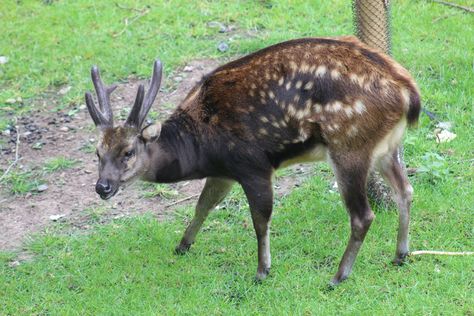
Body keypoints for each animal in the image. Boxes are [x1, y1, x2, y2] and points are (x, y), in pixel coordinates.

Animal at [84, 35, 418, 286]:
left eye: (128, 152)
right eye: (97, 153)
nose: (102, 187)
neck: (200, 146)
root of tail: (409, 94)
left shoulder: (252, 164)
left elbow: (260, 218)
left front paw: (261, 271)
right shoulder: (224, 171)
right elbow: (203, 205)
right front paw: (182, 245)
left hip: (348, 145)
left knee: (363, 214)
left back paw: (338, 276)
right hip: (385, 147)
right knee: (405, 190)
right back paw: (400, 254)